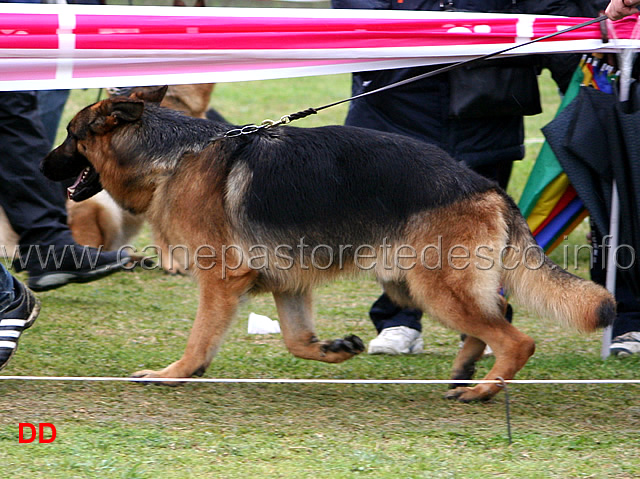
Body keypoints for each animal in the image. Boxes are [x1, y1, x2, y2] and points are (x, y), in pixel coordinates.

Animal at [40, 87, 616, 404]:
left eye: (71, 135)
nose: (43, 166)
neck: (173, 155)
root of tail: (486, 186)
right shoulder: (285, 283)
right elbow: (297, 340)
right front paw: (333, 348)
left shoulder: (222, 280)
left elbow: (200, 340)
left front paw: (174, 375)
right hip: (417, 283)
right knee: (502, 310)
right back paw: (467, 369)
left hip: (433, 286)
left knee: (518, 338)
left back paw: (485, 389)